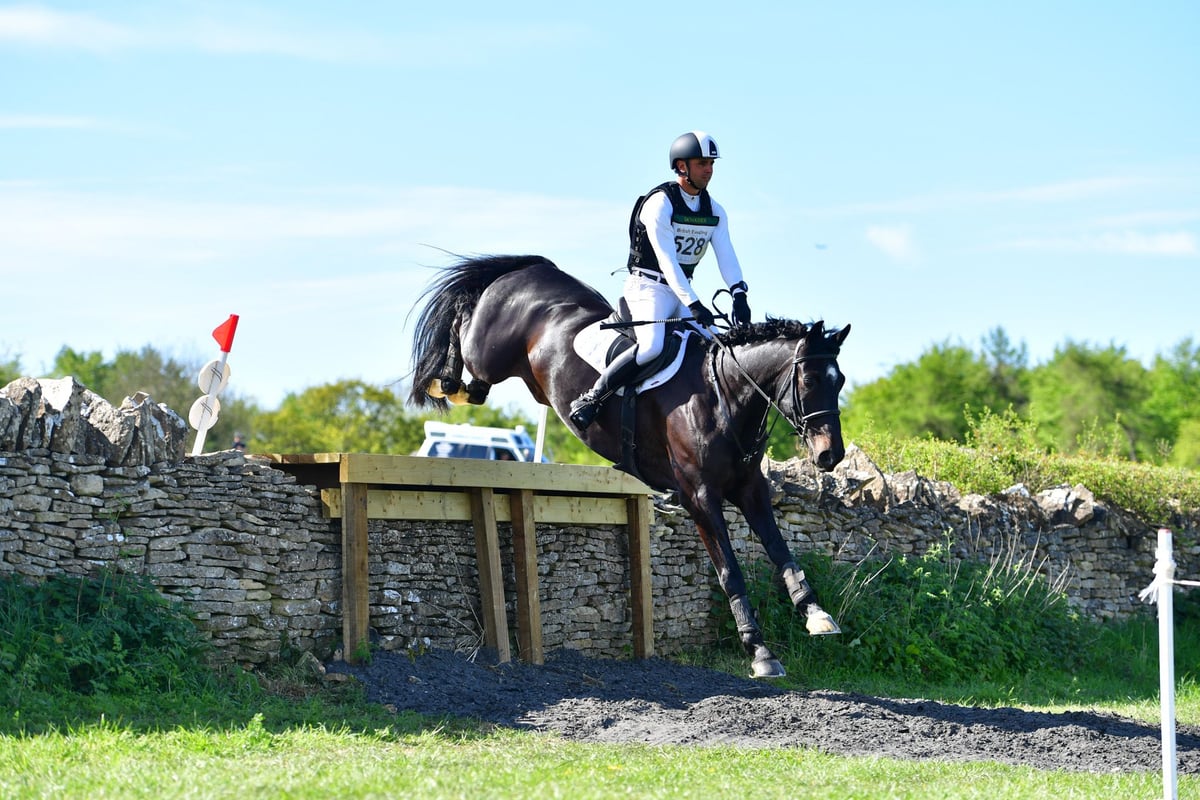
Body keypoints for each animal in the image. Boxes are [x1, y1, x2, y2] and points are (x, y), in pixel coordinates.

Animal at [408, 254, 851, 678]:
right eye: (810, 381)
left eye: (840, 381)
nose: (831, 455)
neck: (721, 392)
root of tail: (531, 269)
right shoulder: (699, 496)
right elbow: (730, 572)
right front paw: (759, 651)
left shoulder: (750, 488)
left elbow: (781, 552)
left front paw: (816, 615)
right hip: (489, 353)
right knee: (465, 324)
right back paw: (442, 379)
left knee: (478, 386)